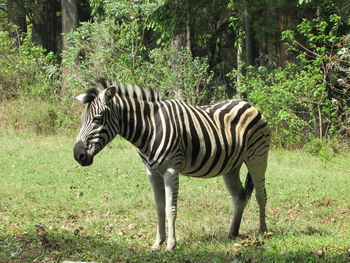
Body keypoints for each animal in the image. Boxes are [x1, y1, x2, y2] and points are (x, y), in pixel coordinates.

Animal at [73, 78, 270, 252]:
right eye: (82, 119)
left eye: (98, 119)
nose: (77, 155)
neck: (150, 128)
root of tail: (248, 104)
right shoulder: (152, 173)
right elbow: (159, 208)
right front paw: (157, 243)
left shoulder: (170, 171)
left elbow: (170, 209)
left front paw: (170, 245)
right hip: (231, 167)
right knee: (239, 197)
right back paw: (232, 233)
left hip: (257, 157)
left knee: (261, 195)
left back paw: (263, 231)